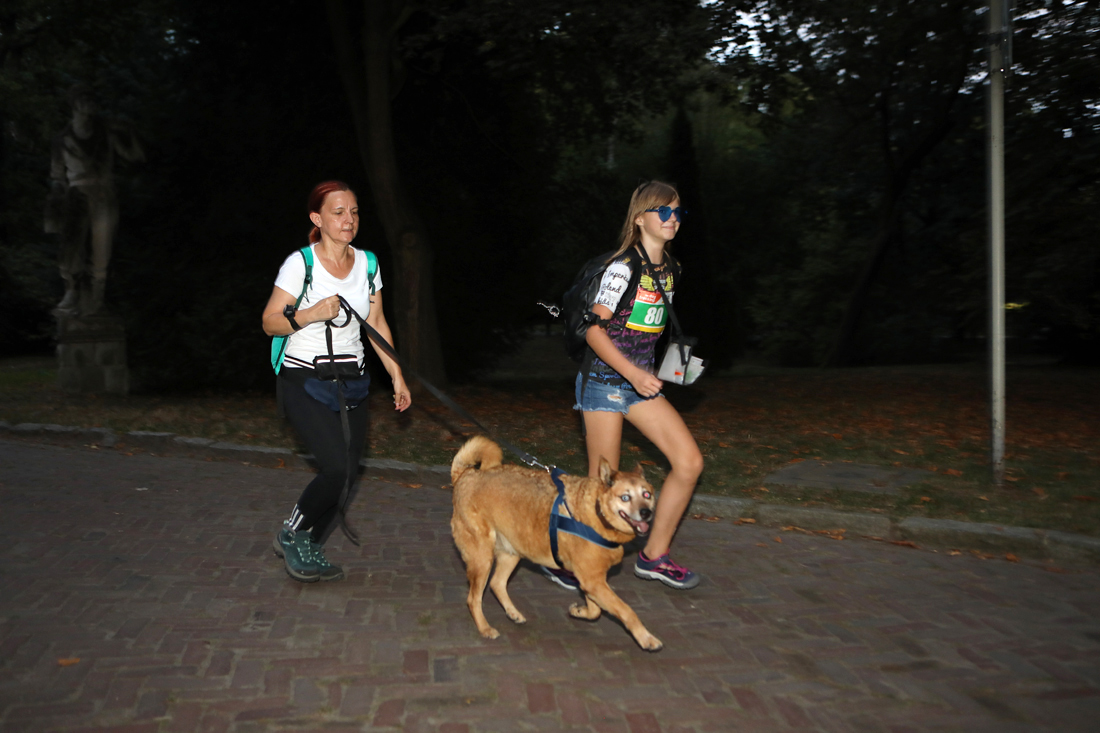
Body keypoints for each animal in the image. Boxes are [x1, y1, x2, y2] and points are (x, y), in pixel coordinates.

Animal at [450, 435, 662, 651]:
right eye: (625, 497)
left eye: (647, 494)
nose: (646, 513)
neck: (597, 511)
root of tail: (465, 474)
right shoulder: (593, 581)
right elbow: (626, 610)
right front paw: (646, 638)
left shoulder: (591, 581)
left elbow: (595, 611)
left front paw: (579, 611)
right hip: (482, 558)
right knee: (473, 599)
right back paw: (485, 628)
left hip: (513, 551)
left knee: (496, 583)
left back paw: (513, 613)